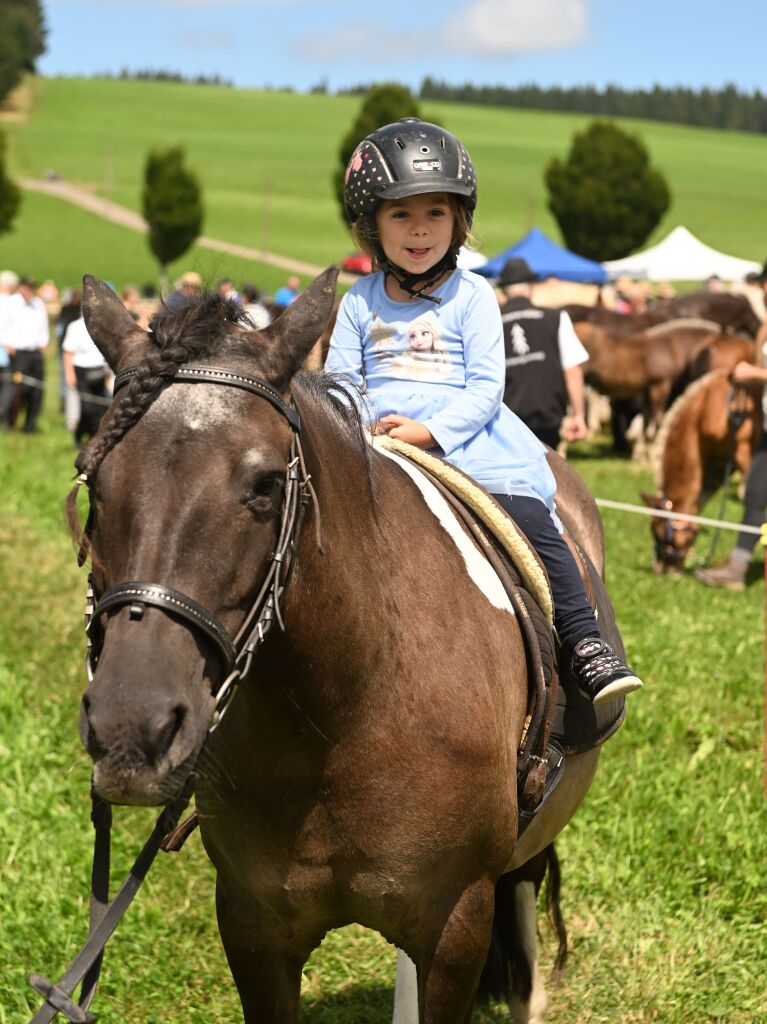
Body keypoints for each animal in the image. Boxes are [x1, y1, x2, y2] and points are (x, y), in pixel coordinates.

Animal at [68, 268, 626, 1019]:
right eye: (94, 482)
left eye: (265, 485)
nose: (132, 727)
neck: (340, 712)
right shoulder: (252, 926)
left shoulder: (456, 923)